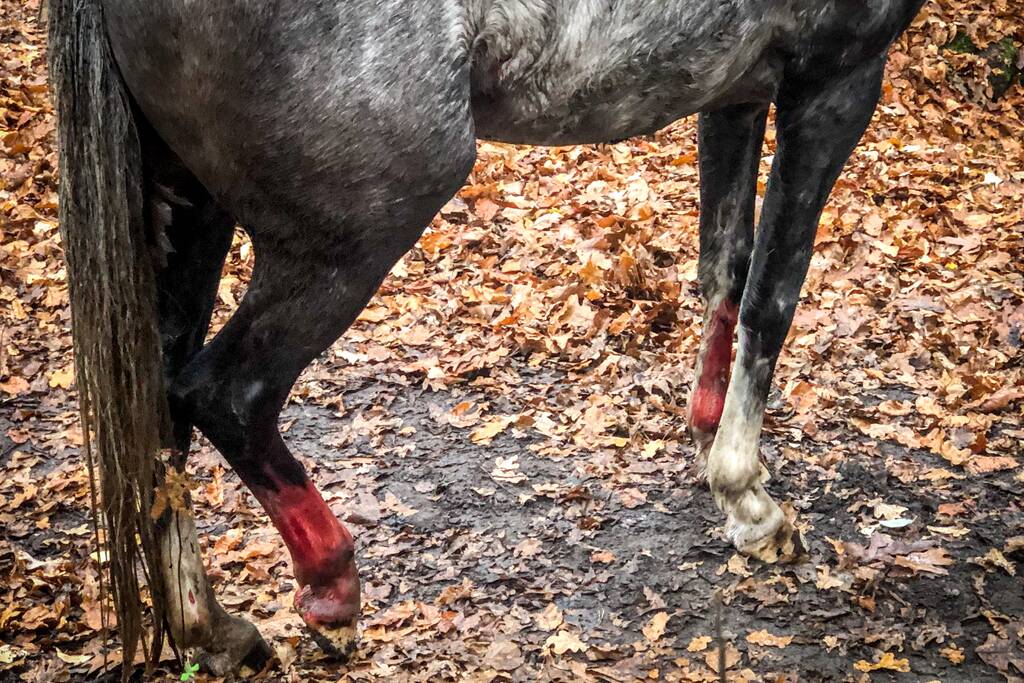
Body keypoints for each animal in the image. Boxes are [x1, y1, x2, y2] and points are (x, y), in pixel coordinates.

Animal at [47, 0, 927, 675]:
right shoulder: (835, 80)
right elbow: (772, 296)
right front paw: (750, 501)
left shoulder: (736, 88)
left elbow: (728, 263)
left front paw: (710, 427)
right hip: (359, 229)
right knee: (224, 393)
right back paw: (332, 587)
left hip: (189, 202)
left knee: (155, 409)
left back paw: (214, 629)